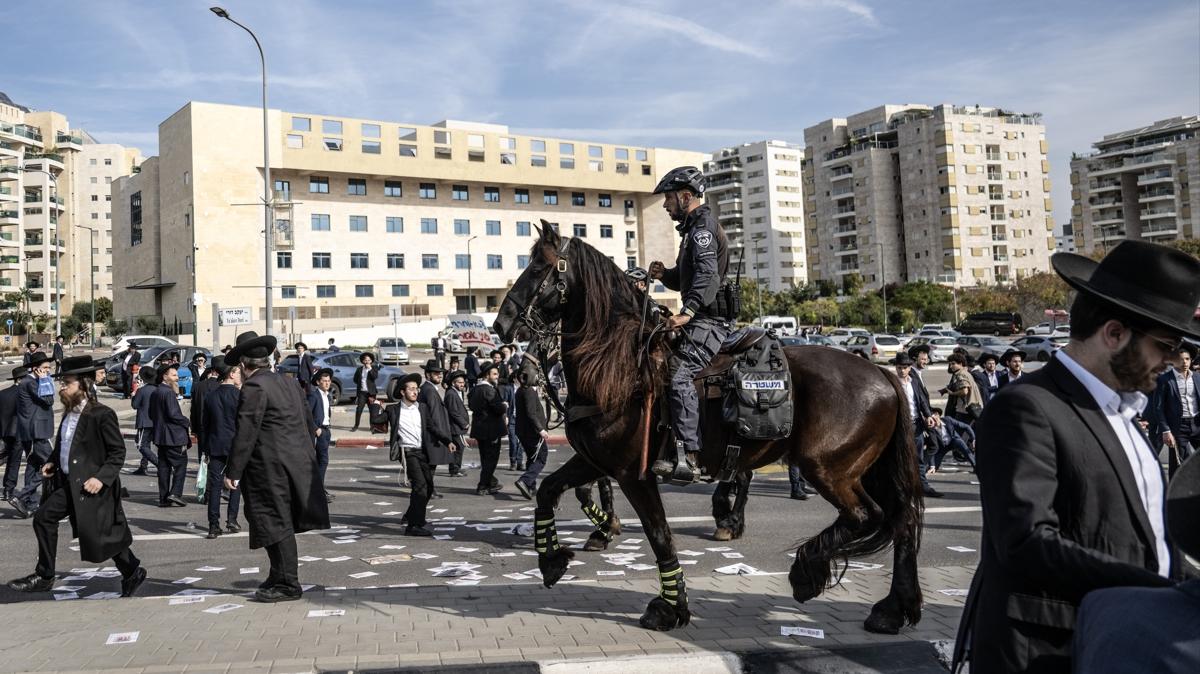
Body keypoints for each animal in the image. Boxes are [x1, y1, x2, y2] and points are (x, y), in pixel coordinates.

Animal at [492, 223, 921, 633]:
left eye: (537, 269)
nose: (501, 324)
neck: (618, 364)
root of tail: (882, 373)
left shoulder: (633, 473)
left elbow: (660, 535)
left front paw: (669, 607)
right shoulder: (596, 461)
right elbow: (548, 490)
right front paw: (552, 559)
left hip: (829, 468)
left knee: (867, 516)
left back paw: (804, 569)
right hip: (865, 468)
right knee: (901, 522)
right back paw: (891, 609)